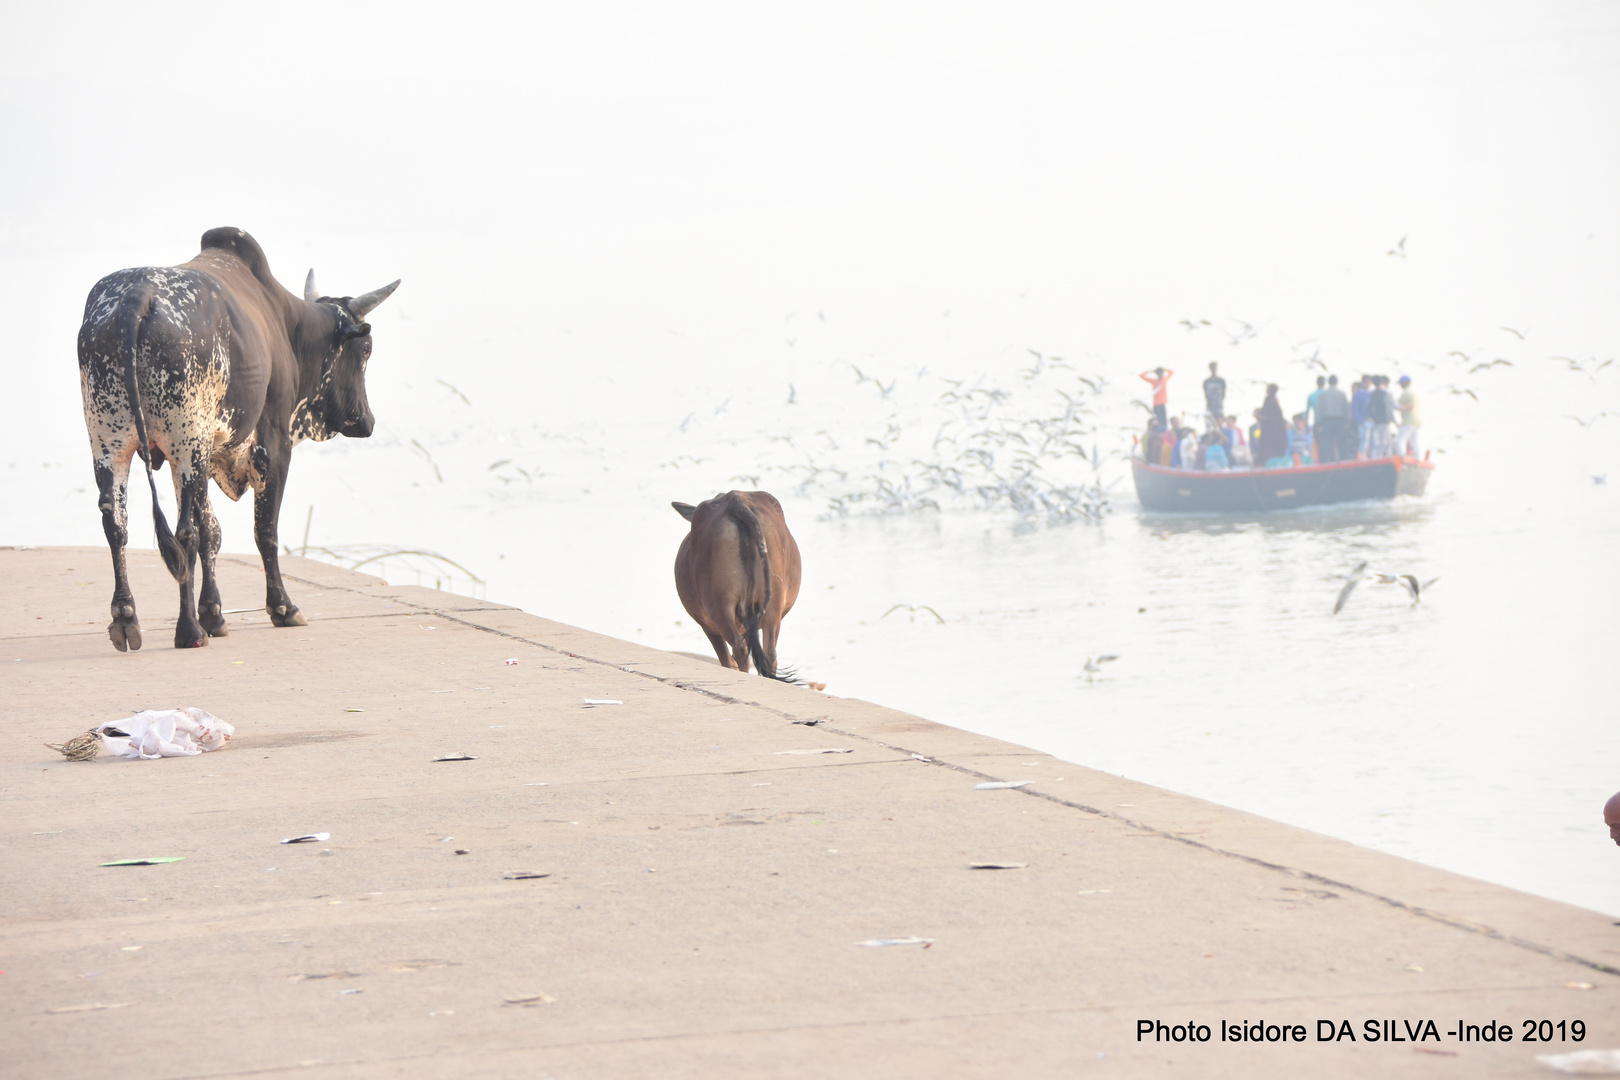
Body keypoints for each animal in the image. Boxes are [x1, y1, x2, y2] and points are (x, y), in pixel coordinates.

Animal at [77, 228, 400, 650]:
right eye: (366, 351)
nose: (367, 421)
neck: (287, 324)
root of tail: (138, 294)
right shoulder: (272, 443)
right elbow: (264, 531)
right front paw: (282, 608)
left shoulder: (201, 454)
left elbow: (213, 532)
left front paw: (214, 613)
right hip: (185, 442)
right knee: (184, 532)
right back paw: (188, 631)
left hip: (111, 443)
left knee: (118, 523)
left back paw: (126, 620)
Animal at [667, 492, 800, 680]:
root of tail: (736, 500)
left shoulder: (707, 625)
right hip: (773, 603)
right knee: (769, 653)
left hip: (719, 604)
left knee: (738, 650)